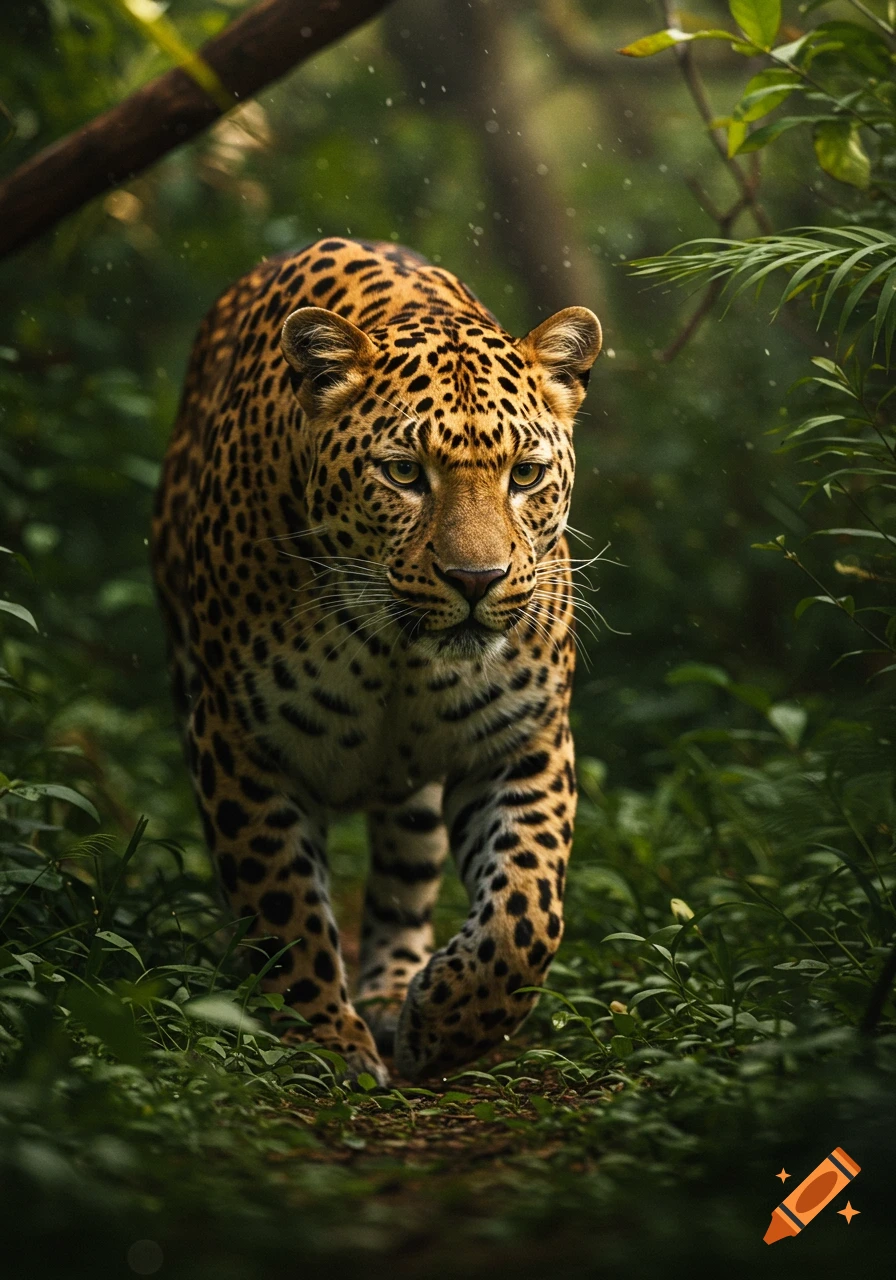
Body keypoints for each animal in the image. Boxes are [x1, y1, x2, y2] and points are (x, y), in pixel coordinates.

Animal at [151, 236, 602, 1085]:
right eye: (403, 474)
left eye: (524, 475)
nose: (476, 580)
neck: (398, 650)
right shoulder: (240, 743)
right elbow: (283, 903)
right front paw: (322, 1042)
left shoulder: (521, 740)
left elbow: (525, 914)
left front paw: (446, 1024)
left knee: (403, 879)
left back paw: (395, 992)